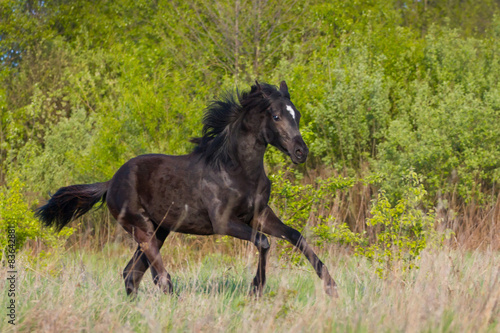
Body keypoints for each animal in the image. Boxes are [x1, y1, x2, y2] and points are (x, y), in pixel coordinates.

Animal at [37, 80, 338, 296]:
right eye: (275, 116)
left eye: (296, 114)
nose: (301, 152)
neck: (236, 170)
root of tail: (110, 183)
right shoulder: (224, 222)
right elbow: (263, 242)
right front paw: (256, 288)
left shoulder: (259, 214)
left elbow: (294, 235)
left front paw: (331, 286)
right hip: (142, 229)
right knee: (158, 276)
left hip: (159, 230)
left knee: (131, 274)